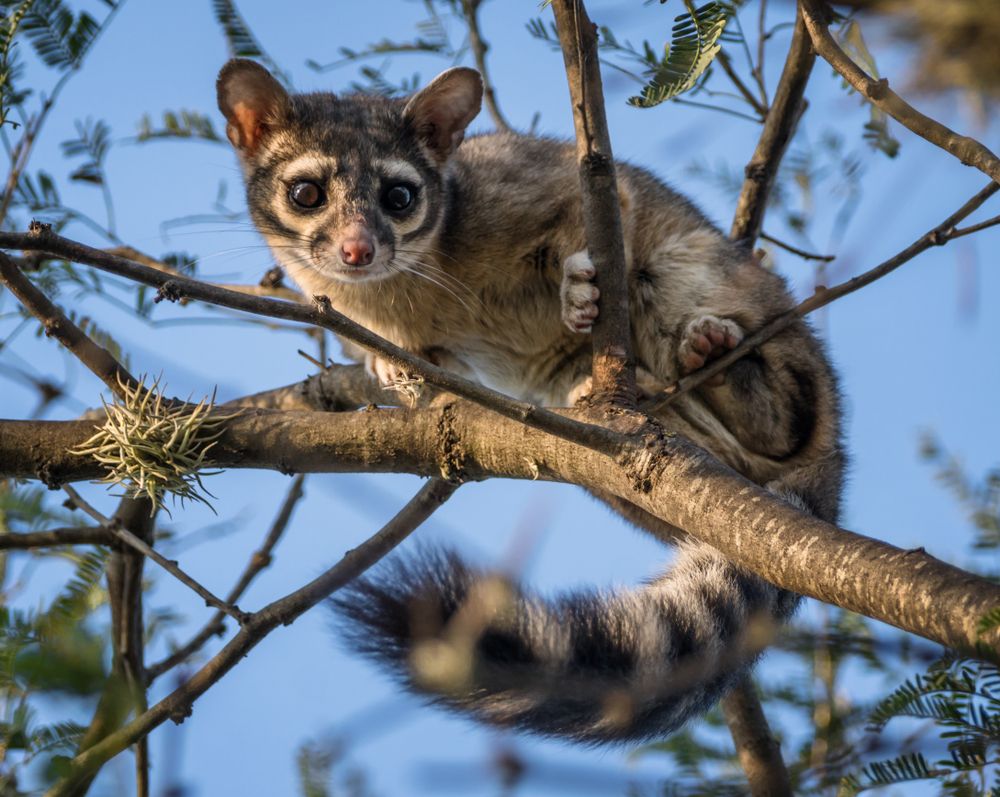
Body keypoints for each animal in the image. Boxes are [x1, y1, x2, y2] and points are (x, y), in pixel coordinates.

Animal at [217, 59, 844, 744]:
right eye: (307, 194)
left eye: (399, 198)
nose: (358, 251)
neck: (393, 284)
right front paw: (386, 364)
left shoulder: (524, 185)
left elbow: (603, 204)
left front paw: (574, 283)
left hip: (714, 282)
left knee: (726, 343)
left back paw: (733, 376)